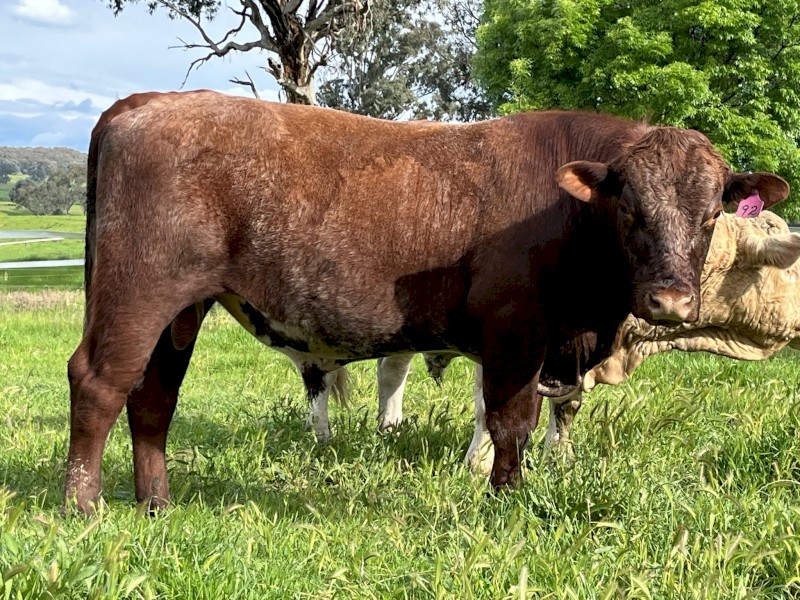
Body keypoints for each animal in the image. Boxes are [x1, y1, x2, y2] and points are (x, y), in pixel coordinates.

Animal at [66, 89, 789, 514]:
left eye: (710, 214)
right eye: (630, 209)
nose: (669, 299)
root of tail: (148, 101)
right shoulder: (514, 336)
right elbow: (509, 422)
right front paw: (506, 502)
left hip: (180, 310)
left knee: (153, 396)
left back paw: (156, 503)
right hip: (139, 290)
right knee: (100, 382)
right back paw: (83, 505)